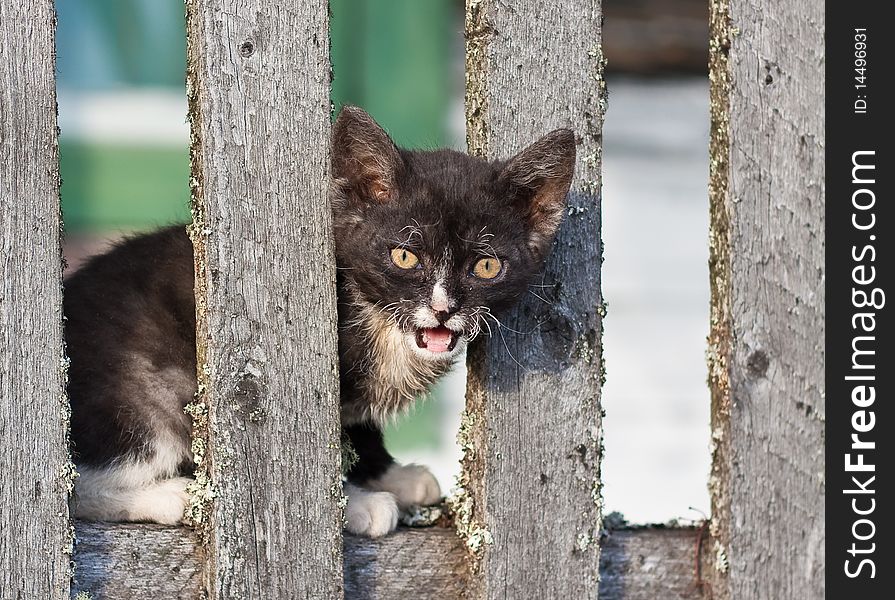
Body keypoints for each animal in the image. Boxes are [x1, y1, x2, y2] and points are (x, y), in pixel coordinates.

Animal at [68, 105, 576, 536]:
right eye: (405, 256)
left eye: (486, 266)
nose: (443, 308)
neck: (381, 323)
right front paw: (360, 505)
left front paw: (390, 474)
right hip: (145, 386)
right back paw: (173, 496)